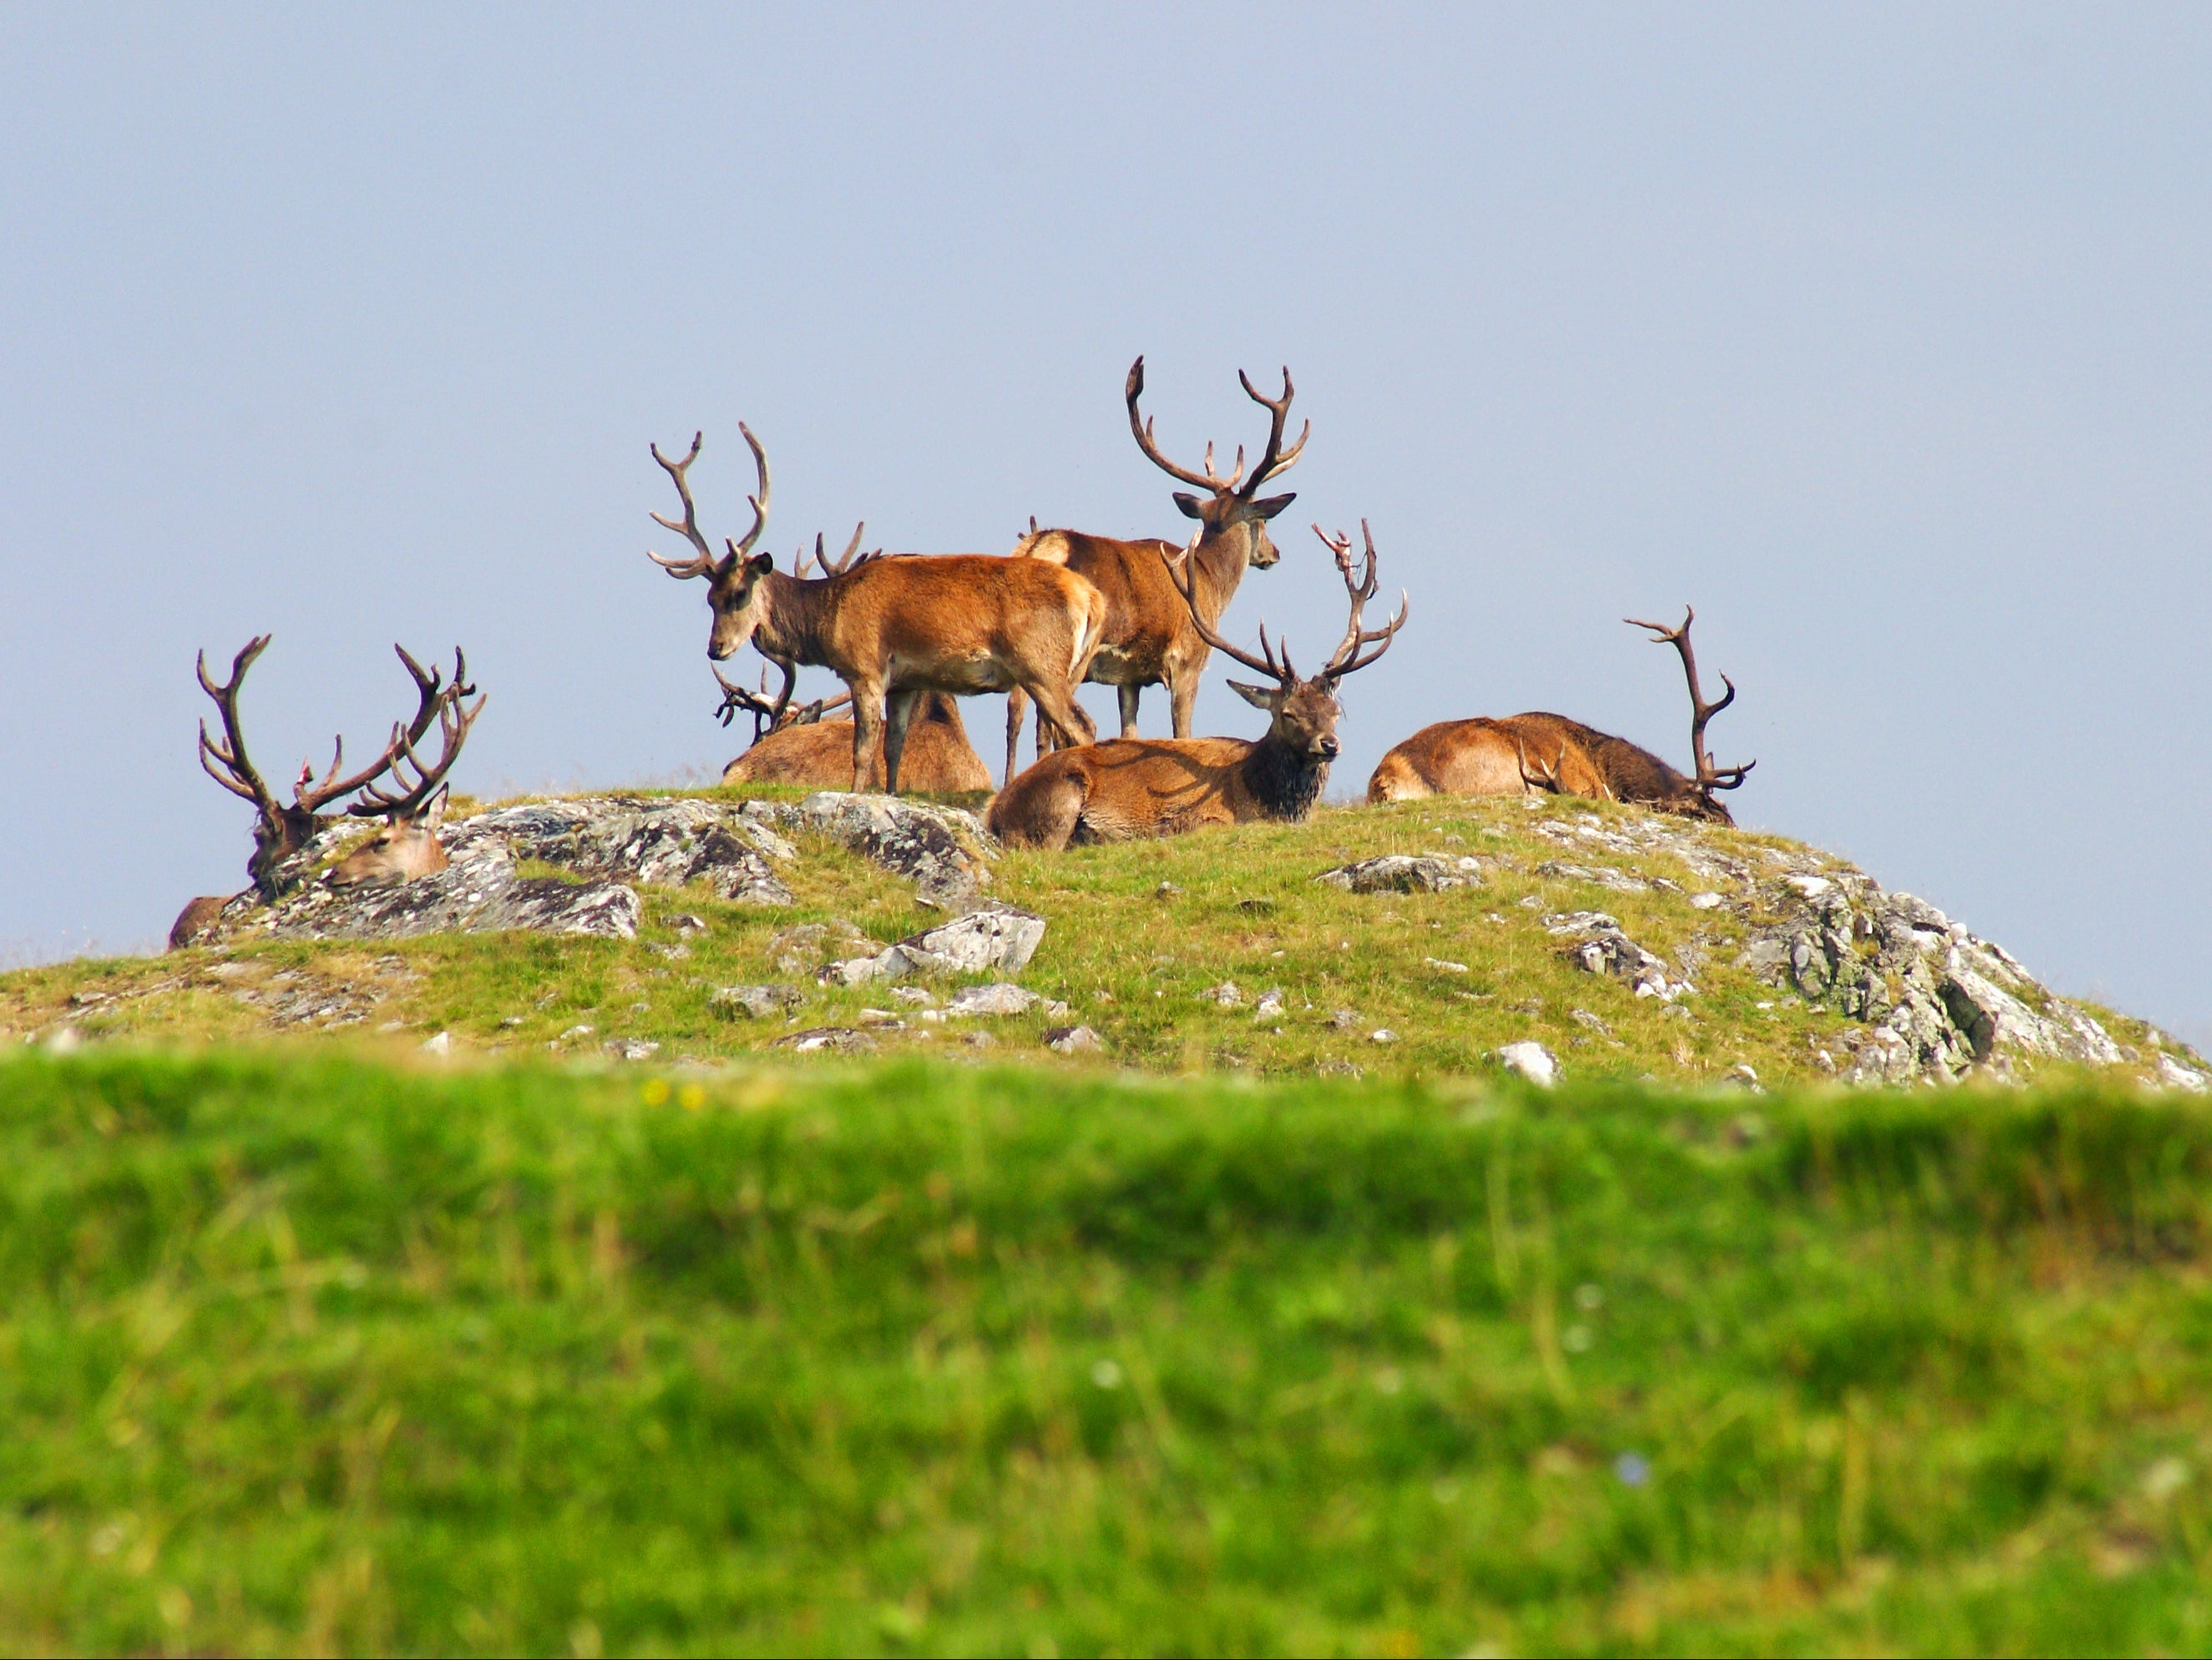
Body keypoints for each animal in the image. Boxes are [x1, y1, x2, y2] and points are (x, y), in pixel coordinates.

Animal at [986, 522, 1398, 858]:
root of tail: (993, 811)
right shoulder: (1201, 816)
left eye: (1335, 712)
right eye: (1288, 714)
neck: (1261, 792)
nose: (1329, 744)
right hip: (1062, 792)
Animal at [1000, 354, 1300, 783]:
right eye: (1261, 521)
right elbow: (1182, 734)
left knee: (1017, 712)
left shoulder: (1129, 677)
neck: (1210, 582)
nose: (1273, 553)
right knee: (1054, 723)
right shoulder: (1188, 660)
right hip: (1073, 652)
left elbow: (1130, 733)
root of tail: (1046, 545)